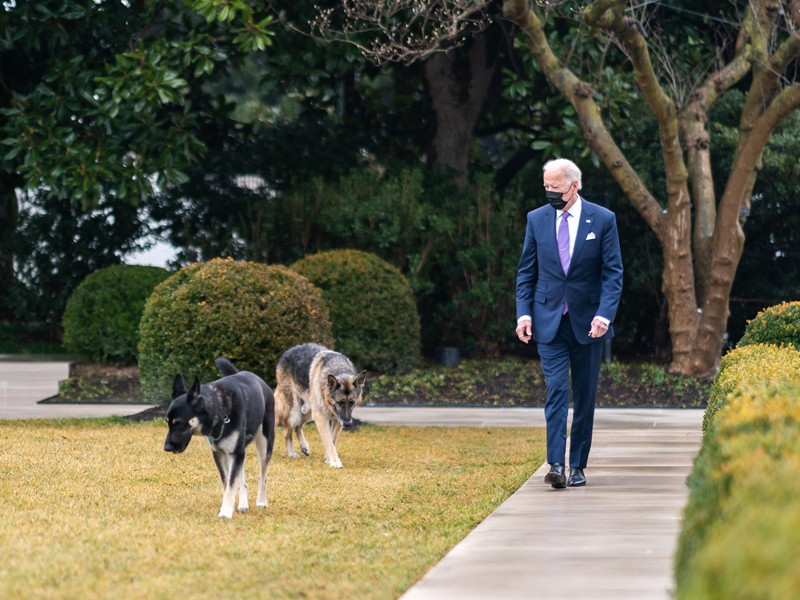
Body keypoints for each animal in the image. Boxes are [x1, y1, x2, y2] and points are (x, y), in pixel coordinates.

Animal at [162, 358, 276, 516]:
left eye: (179, 423)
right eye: (167, 422)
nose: (166, 448)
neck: (219, 410)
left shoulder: (236, 452)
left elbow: (231, 484)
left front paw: (226, 513)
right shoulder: (221, 454)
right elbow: (227, 482)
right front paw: (227, 507)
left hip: (264, 445)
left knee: (263, 476)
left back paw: (261, 501)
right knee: (242, 480)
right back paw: (243, 504)